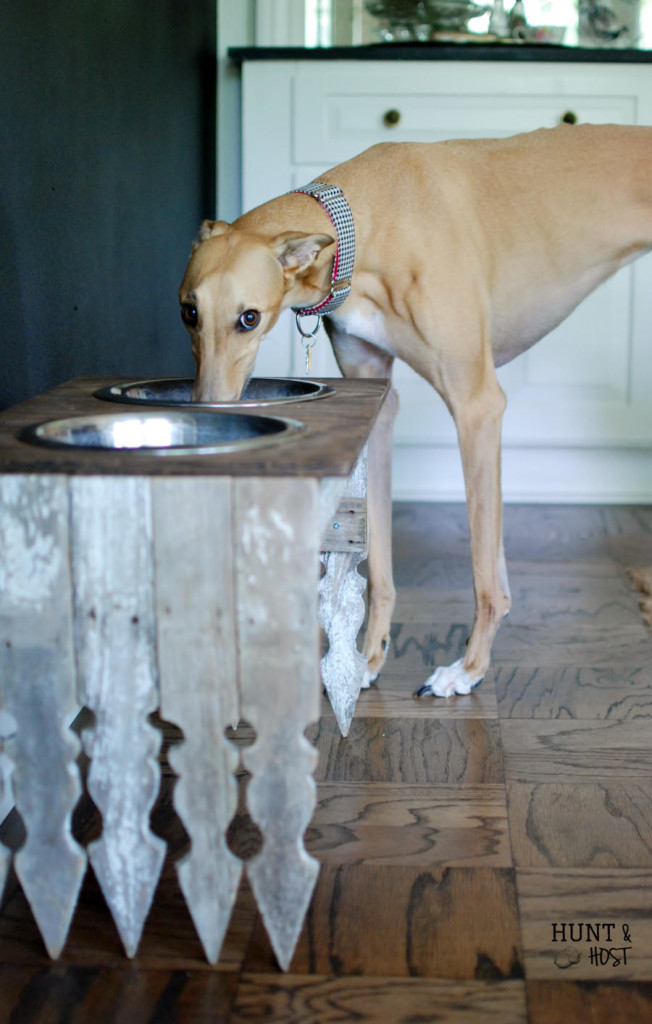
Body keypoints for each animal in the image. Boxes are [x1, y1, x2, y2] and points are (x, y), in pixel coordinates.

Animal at [178, 119, 650, 696]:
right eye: (188, 312)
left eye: (249, 318)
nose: (208, 412)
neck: (362, 222)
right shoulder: (376, 398)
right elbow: (382, 561)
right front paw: (368, 658)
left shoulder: (477, 404)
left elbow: (484, 573)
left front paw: (467, 670)